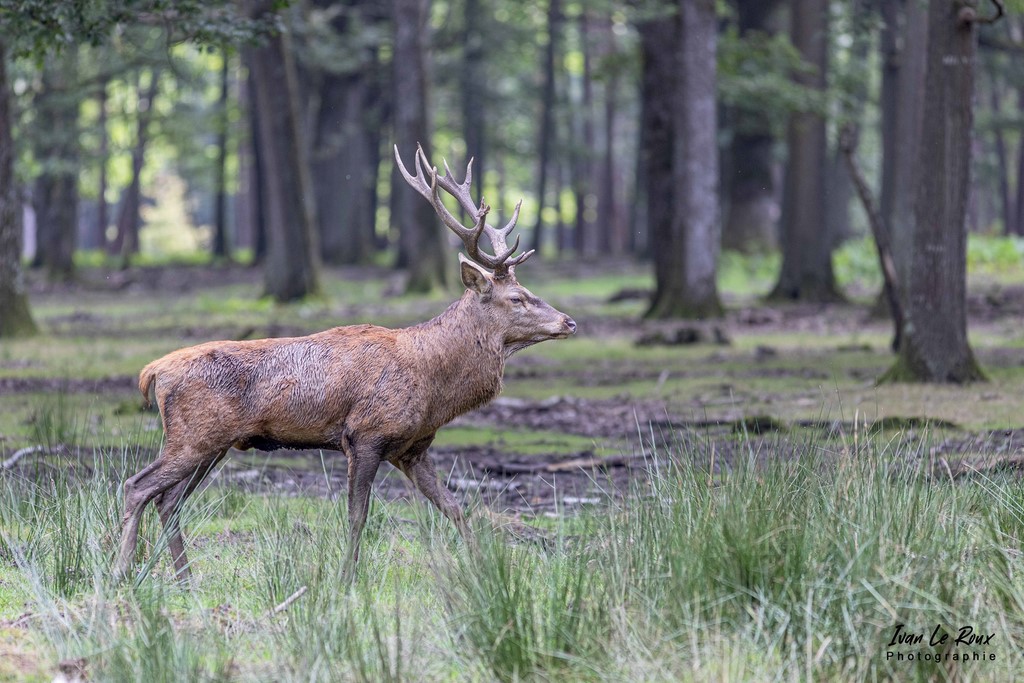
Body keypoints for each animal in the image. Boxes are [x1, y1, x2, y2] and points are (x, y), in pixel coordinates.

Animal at [112, 144, 577, 584]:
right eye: (516, 298)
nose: (568, 321)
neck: (434, 386)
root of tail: (153, 371)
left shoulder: (413, 449)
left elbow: (455, 507)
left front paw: (485, 571)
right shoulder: (365, 434)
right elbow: (358, 515)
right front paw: (345, 579)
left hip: (213, 444)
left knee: (167, 499)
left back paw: (185, 578)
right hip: (195, 436)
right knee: (137, 486)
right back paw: (123, 571)